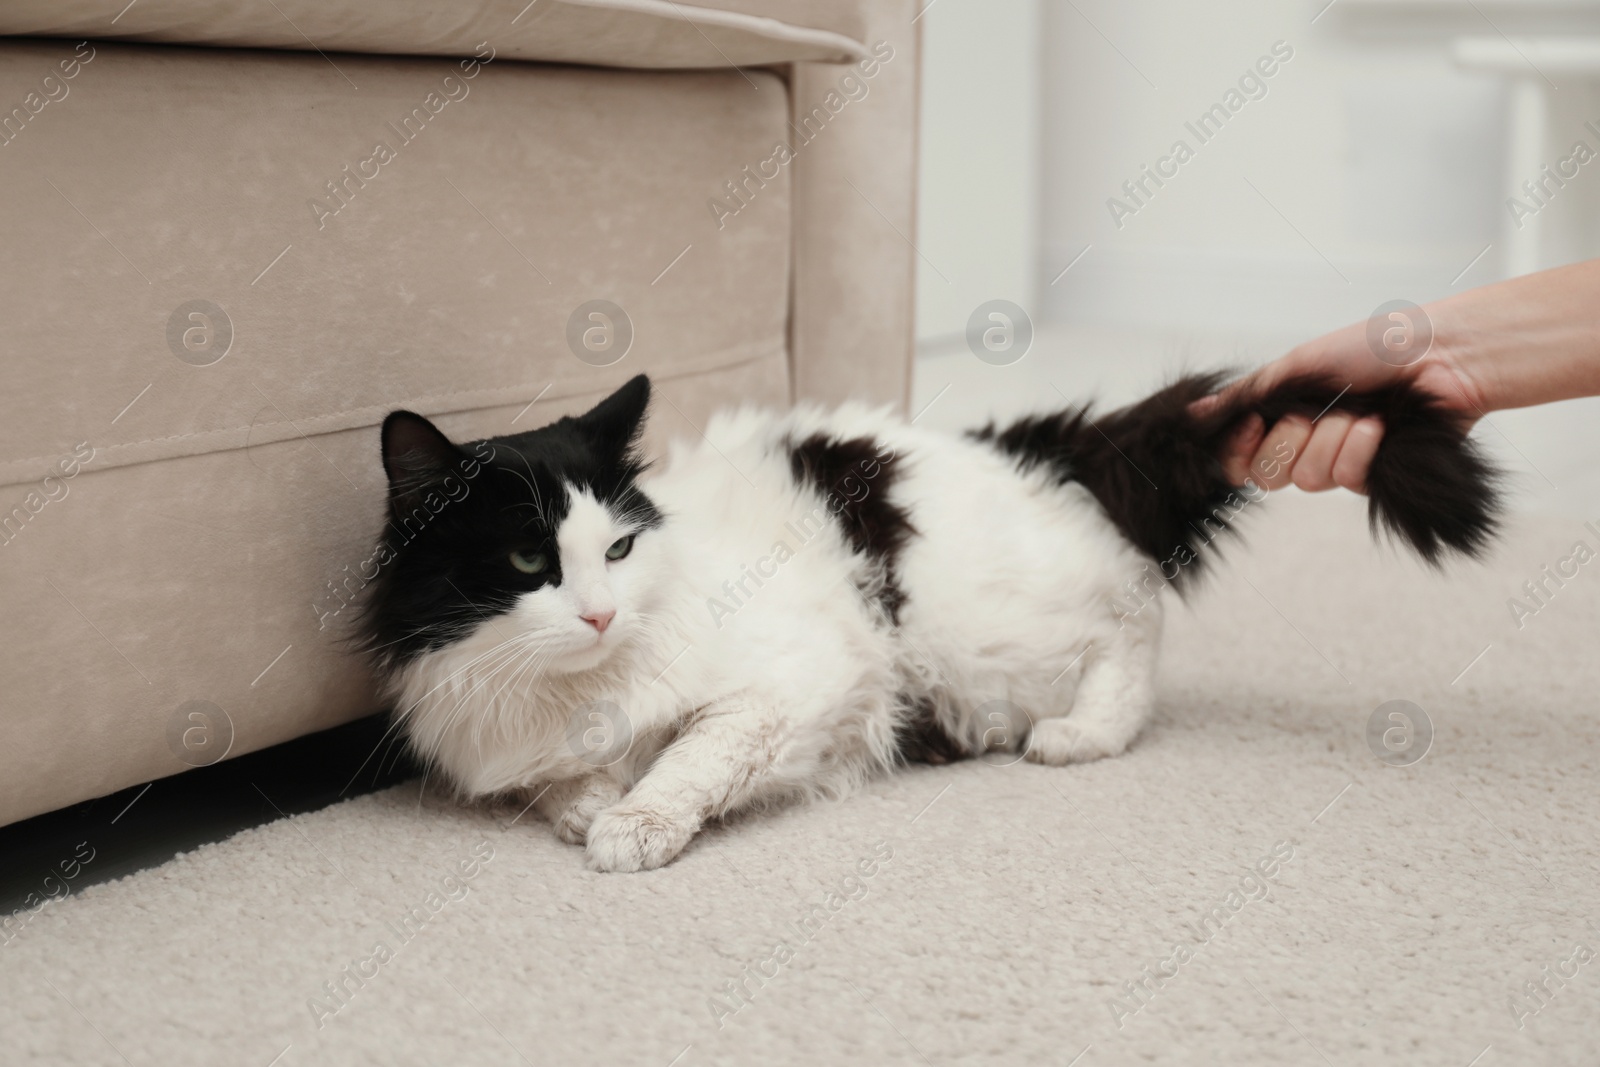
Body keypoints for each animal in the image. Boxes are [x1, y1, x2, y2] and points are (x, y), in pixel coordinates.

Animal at [363, 371, 1497, 870]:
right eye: (528, 561)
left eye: (619, 551)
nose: (600, 614)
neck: (576, 691)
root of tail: (1034, 443)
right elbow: (567, 784)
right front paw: (592, 802)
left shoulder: (796, 681)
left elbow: (688, 759)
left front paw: (633, 823)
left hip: (984, 640)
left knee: (1131, 632)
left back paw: (1074, 735)